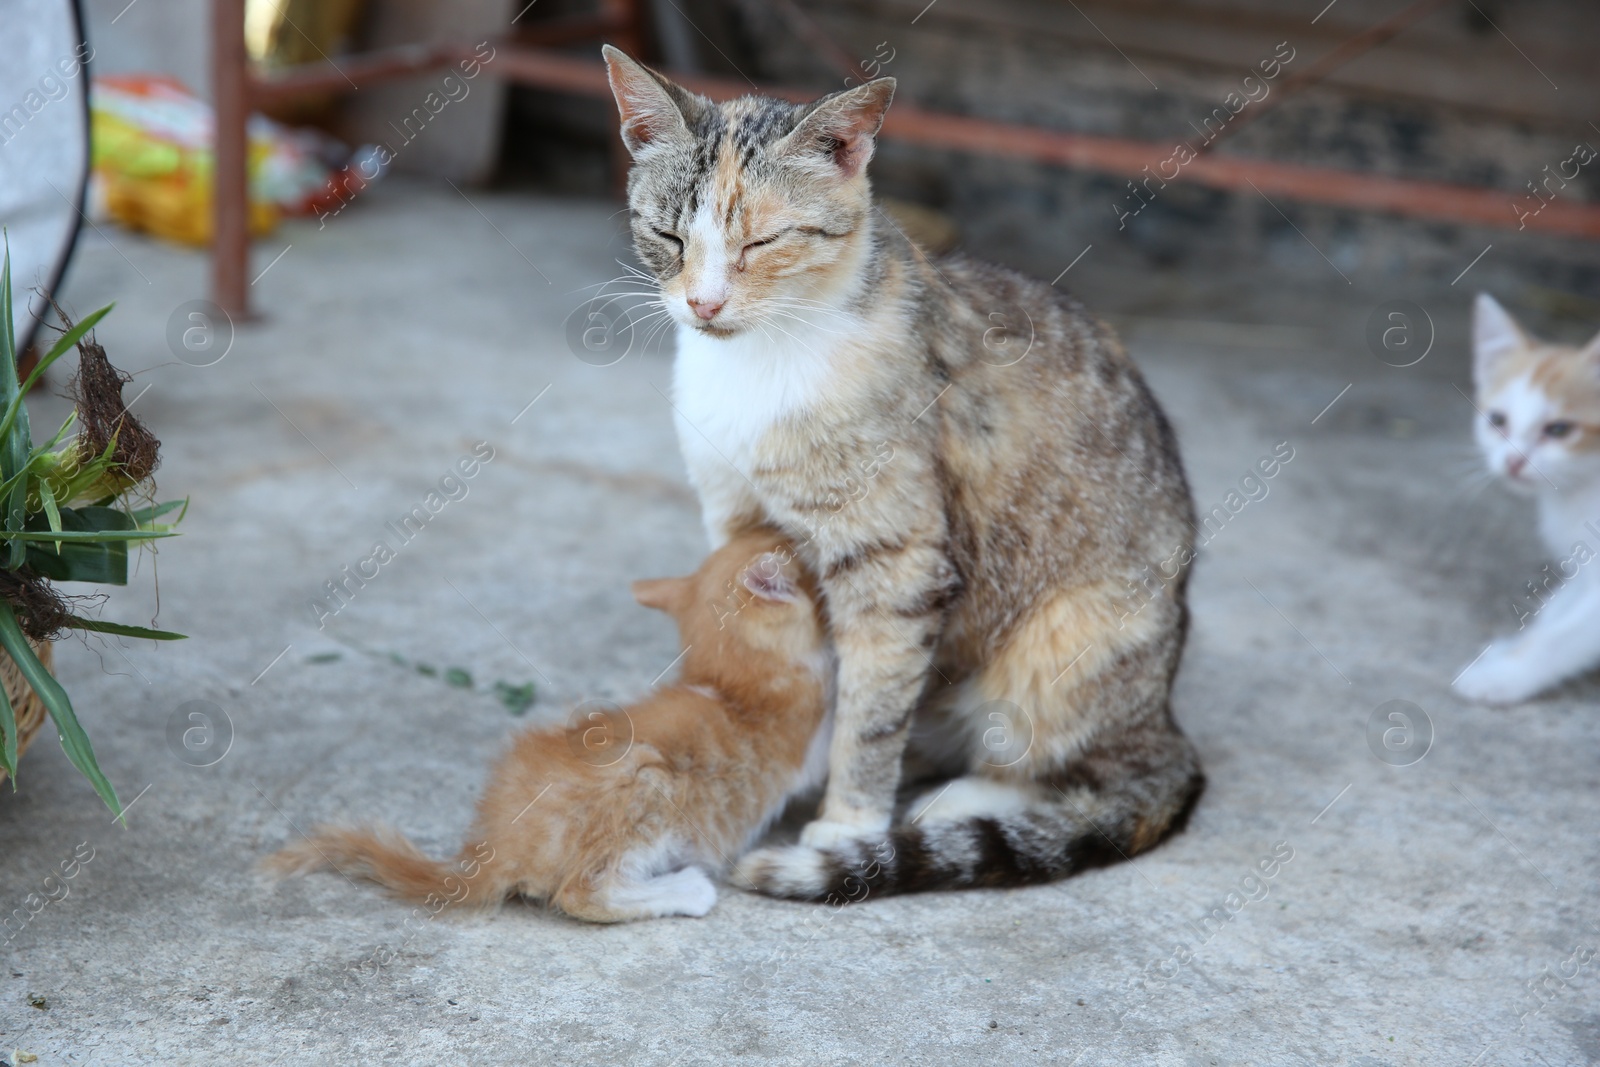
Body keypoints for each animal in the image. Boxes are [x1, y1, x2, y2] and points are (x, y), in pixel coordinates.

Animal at [264, 531, 832, 921]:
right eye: (788, 543)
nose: (797, 534)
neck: (730, 678)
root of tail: (496, 847)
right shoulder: (805, 741)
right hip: (648, 783)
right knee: (581, 893)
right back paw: (687, 890)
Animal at [601, 43, 1203, 902]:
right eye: (667, 235)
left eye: (763, 243)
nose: (704, 305)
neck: (762, 362)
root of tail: (1165, 716)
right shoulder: (735, 517)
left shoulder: (897, 559)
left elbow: (874, 703)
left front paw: (849, 823)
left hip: (1071, 633)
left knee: (1079, 766)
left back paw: (955, 800)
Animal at [1452, 295, 1600, 703]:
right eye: (1497, 420)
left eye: (1560, 429)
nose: (1513, 461)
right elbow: (1554, 613)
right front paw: (1505, 650)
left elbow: (1561, 638)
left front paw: (1503, 675)